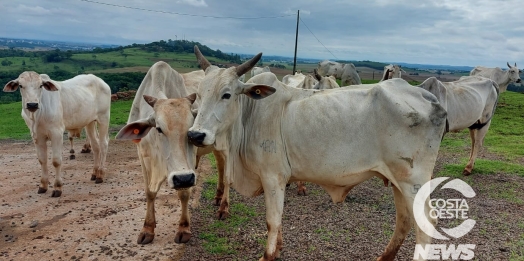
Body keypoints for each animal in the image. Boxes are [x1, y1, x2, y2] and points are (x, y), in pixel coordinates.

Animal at [115, 62, 226, 244]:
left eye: (190, 129)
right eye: (159, 128)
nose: (183, 178)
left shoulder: (187, 166)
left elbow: (184, 193)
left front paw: (183, 228)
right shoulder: (143, 158)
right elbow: (149, 192)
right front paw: (148, 228)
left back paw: (224, 207)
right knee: (220, 165)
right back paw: (217, 197)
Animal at [187, 45, 446, 258]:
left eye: (227, 94)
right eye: (199, 94)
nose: (195, 135)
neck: (250, 115)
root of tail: (427, 96)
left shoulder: (272, 177)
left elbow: (272, 221)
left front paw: (268, 255)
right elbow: (279, 221)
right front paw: (278, 248)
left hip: (412, 180)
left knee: (424, 222)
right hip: (397, 180)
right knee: (404, 219)